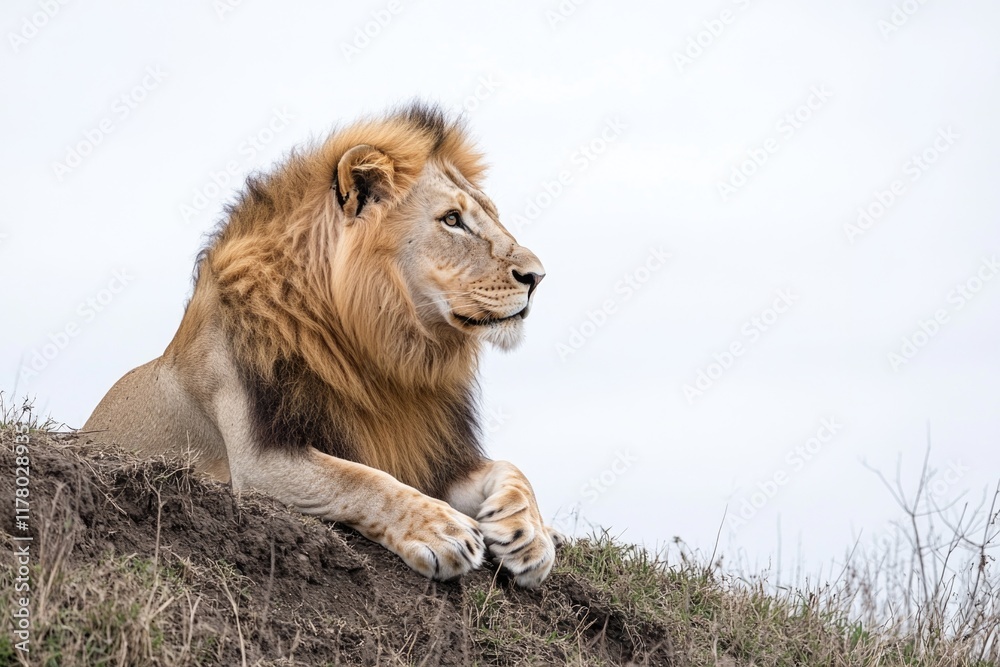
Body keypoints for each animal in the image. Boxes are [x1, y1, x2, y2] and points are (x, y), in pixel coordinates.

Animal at [82, 103, 561, 587]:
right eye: (451, 220)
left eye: (491, 215)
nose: (537, 277)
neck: (388, 354)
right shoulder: (256, 462)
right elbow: (361, 479)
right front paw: (441, 530)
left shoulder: (434, 458)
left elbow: (511, 469)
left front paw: (530, 535)